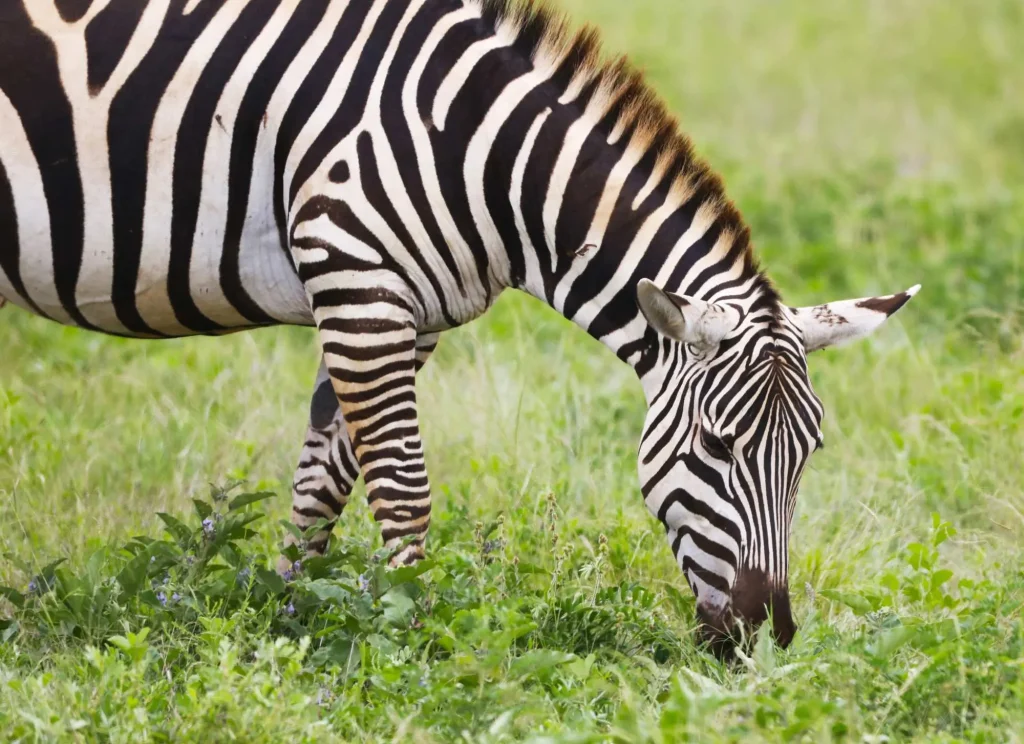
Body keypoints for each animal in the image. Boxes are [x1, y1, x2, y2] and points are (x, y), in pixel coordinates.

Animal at [0, 0, 918, 652]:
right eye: (717, 448)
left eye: (810, 453)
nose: (768, 637)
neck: (477, 155)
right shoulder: (358, 280)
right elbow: (404, 492)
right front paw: (415, 641)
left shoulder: (403, 315)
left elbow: (325, 481)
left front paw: (291, 619)